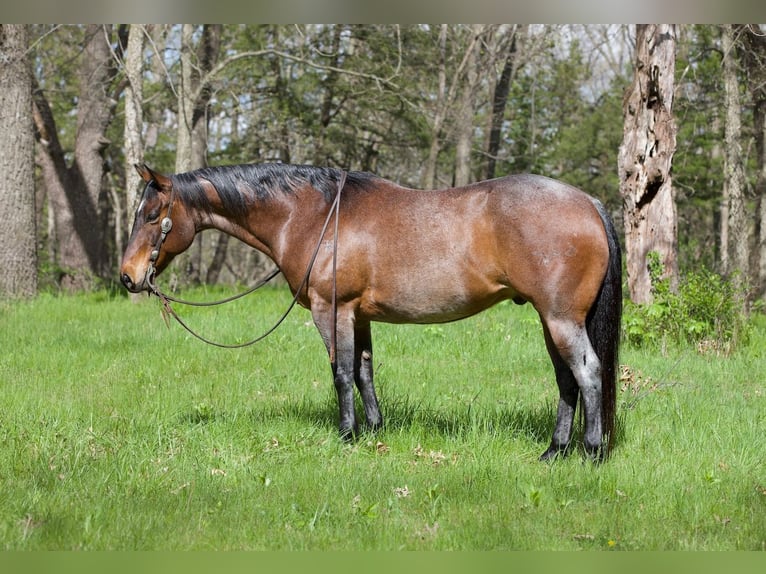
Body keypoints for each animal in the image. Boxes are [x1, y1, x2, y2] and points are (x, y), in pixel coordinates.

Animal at [120, 162, 622, 461]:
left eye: (152, 216)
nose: (127, 277)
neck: (312, 215)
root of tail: (588, 203)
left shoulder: (332, 310)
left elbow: (341, 372)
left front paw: (346, 435)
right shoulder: (358, 315)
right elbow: (364, 371)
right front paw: (374, 429)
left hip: (560, 319)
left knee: (587, 372)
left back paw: (592, 451)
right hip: (550, 320)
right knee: (566, 380)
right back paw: (554, 451)